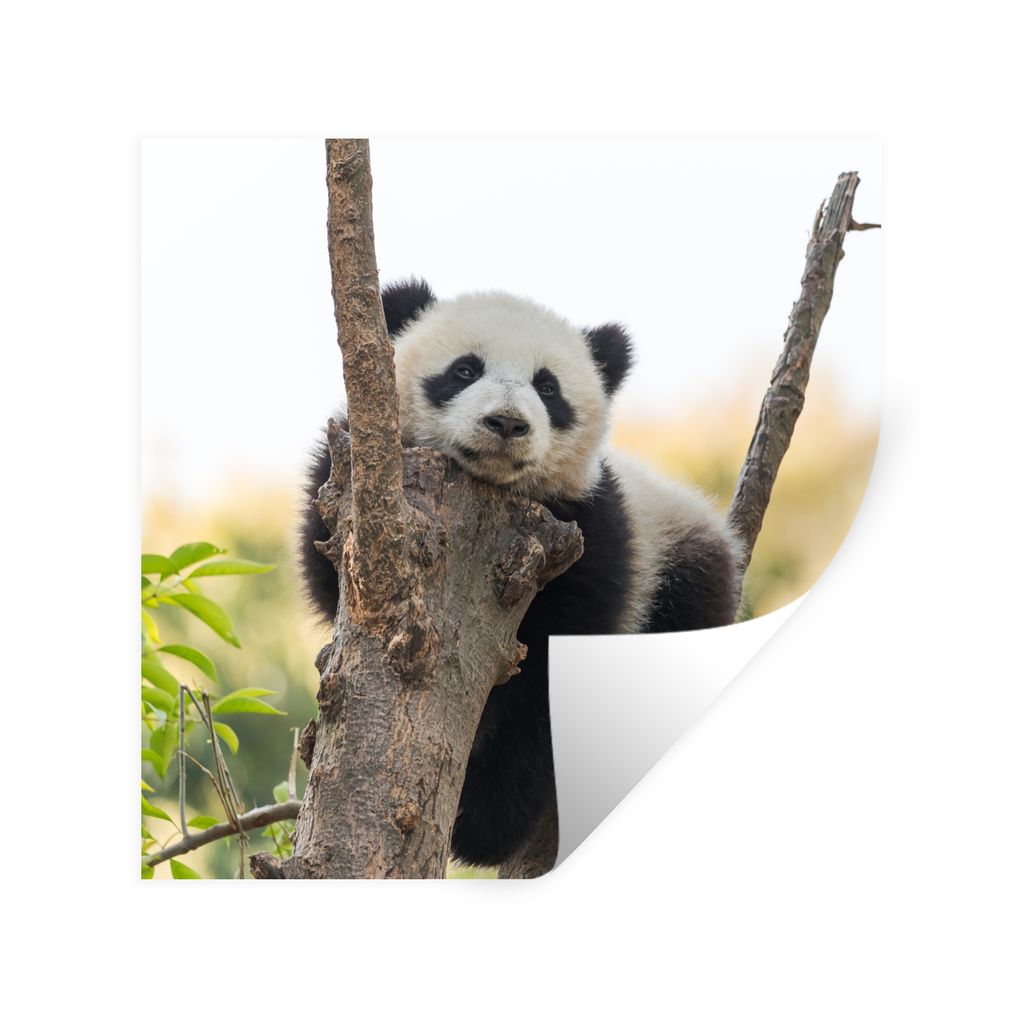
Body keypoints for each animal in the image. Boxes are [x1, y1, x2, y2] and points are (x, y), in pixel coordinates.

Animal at [300, 279, 743, 867]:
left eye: (548, 387)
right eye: (465, 370)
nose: (507, 423)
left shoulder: (592, 535)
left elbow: (543, 689)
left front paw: (480, 822)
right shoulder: (348, 487)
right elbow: (328, 570)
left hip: (681, 568)